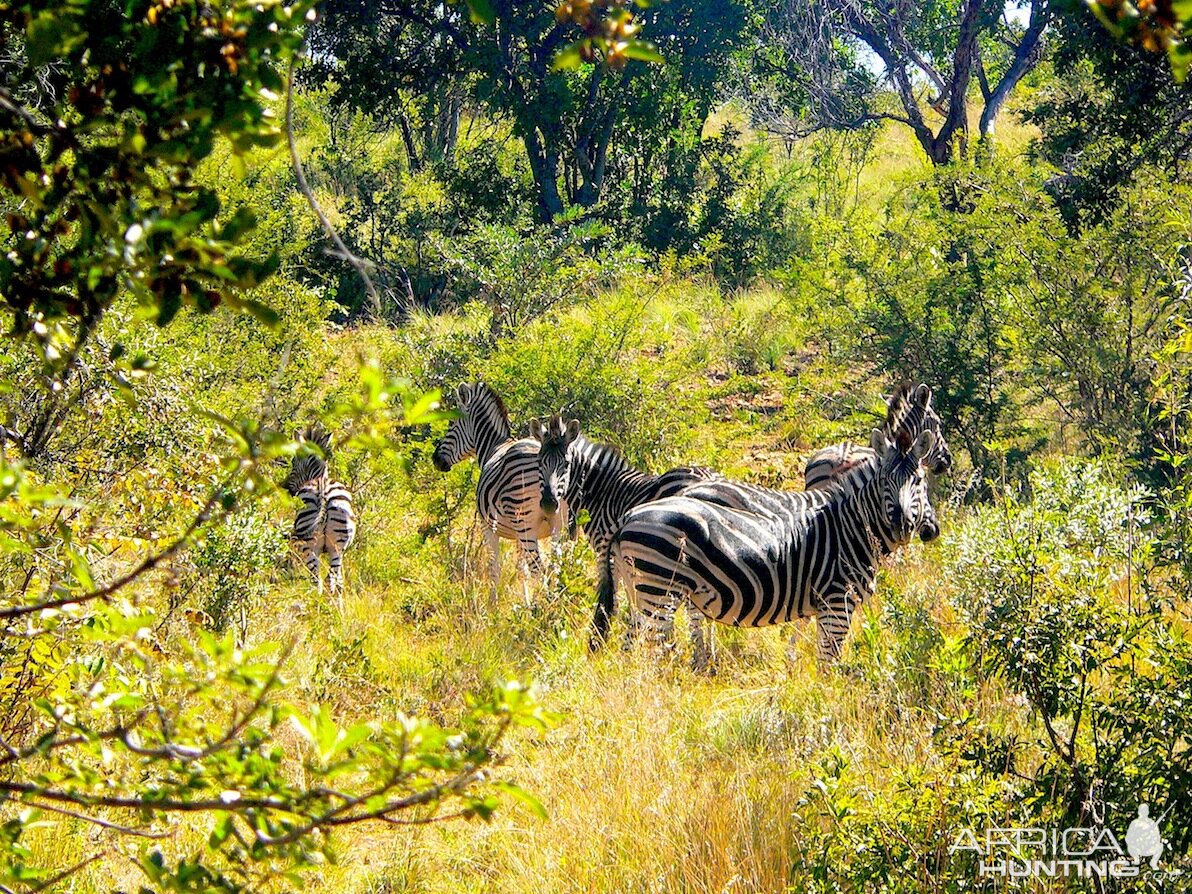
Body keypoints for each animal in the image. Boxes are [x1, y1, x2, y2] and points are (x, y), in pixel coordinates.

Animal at [284, 429, 357, 603]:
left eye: (293, 462)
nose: (285, 488)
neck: (319, 478)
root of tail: (323, 490)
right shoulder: (340, 551)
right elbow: (339, 581)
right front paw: (339, 600)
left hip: (310, 546)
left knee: (316, 580)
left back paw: (315, 605)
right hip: (337, 545)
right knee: (329, 580)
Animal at [433, 381, 562, 605]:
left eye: (451, 425)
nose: (435, 459)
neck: (494, 446)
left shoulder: (488, 527)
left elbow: (495, 568)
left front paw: (493, 606)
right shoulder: (518, 536)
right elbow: (521, 570)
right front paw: (525, 602)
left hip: (525, 523)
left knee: (540, 568)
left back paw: (545, 609)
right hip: (559, 526)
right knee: (558, 567)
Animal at [531, 417, 715, 648]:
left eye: (565, 464)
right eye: (539, 462)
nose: (548, 503)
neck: (601, 492)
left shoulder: (605, 549)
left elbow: (614, 594)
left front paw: (603, 637)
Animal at [615, 429, 939, 672]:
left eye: (919, 481)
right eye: (885, 481)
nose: (903, 524)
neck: (850, 529)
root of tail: (629, 515)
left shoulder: (819, 604)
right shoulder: (837, 602)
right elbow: (829, 661)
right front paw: (827, 701)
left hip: (645, 590)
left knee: (635, 640)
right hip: (658, 590)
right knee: (643, 646)